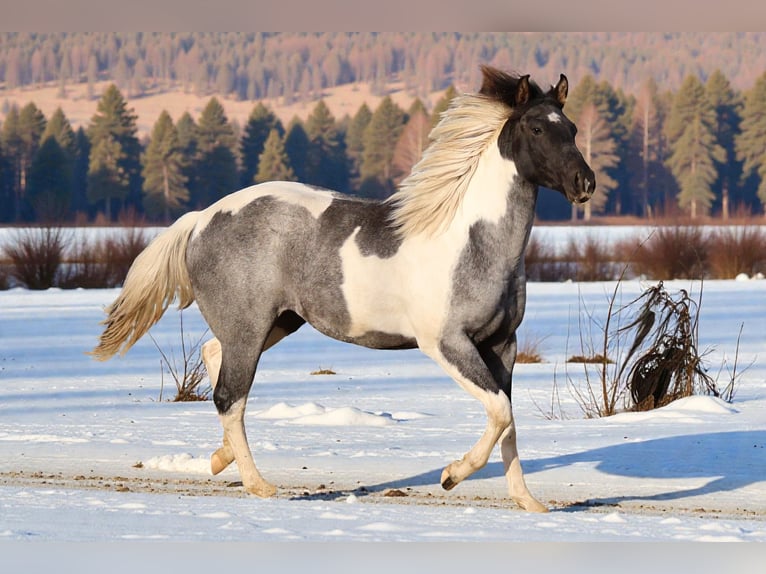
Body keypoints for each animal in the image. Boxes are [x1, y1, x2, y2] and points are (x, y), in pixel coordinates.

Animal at [91, 65, 595, 512]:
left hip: (276, 323)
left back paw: (221, 459)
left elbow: (507, 419)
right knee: (229, 397)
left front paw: (529, 503)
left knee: (215, 359)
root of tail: (201, 220)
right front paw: (451, 476)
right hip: (250, 327)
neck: (471, 241)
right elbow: (500, 413)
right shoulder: (446, 343)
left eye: (571, 128)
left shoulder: (501, 344)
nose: (584, 183)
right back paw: (259, 486)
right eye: (536, 127)